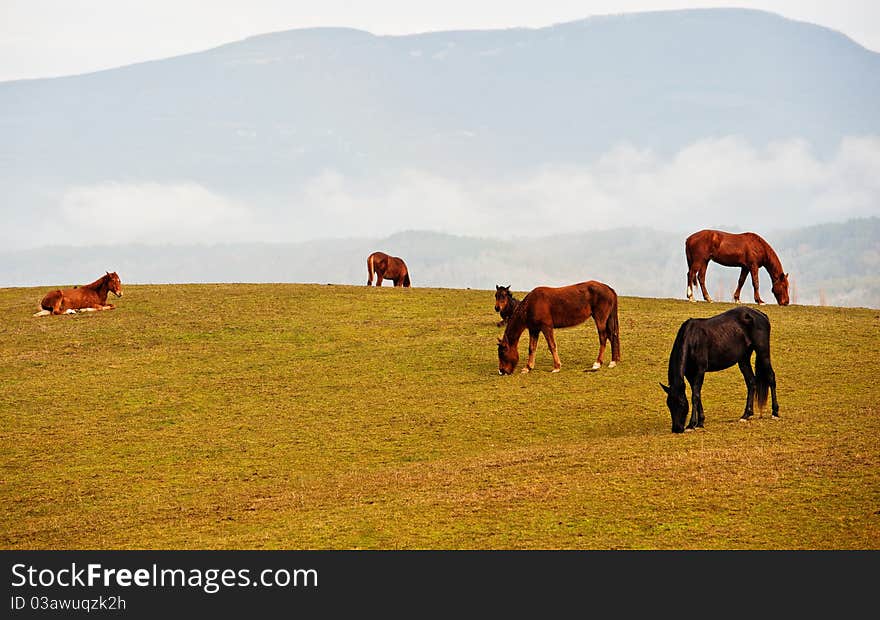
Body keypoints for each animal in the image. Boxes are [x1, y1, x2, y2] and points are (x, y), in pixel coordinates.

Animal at [660, 306, 776, 434]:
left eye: (681, 404)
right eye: (669, 404)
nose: (677, 429)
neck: (692, 339)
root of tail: (761, 314)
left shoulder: (700, 371)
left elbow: (695, 396)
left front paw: (691, 425)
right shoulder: (690, 375)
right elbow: (698, 395)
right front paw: (700, 422)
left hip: (763, 353)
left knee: (771, 377)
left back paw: (775, 412)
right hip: (743, 358)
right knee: (751, 382)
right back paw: (746, 415)